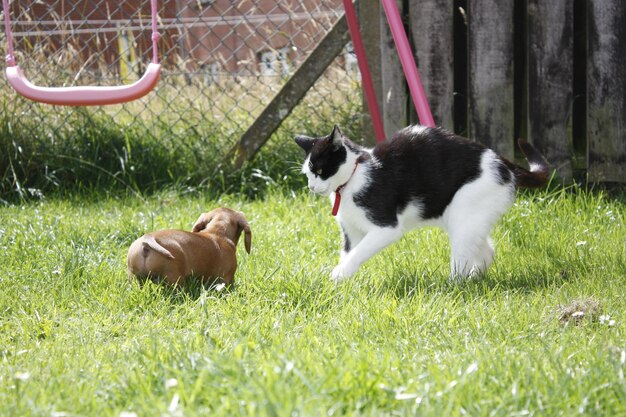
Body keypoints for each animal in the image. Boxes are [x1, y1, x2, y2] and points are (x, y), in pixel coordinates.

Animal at [292, 122, 544, 280]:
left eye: (320, 170)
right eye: (307, 174)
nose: (311, 187)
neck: (352, 179)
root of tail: (505, 163)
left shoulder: (386, 228)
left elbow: (359, 253)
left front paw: (337, 275)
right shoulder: (351, 232)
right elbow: (349, 253)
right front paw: (341, 283)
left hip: (465, 214)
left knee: (463, 259)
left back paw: (454, 285)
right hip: (467, 219)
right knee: (486, 250)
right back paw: (475, 278)